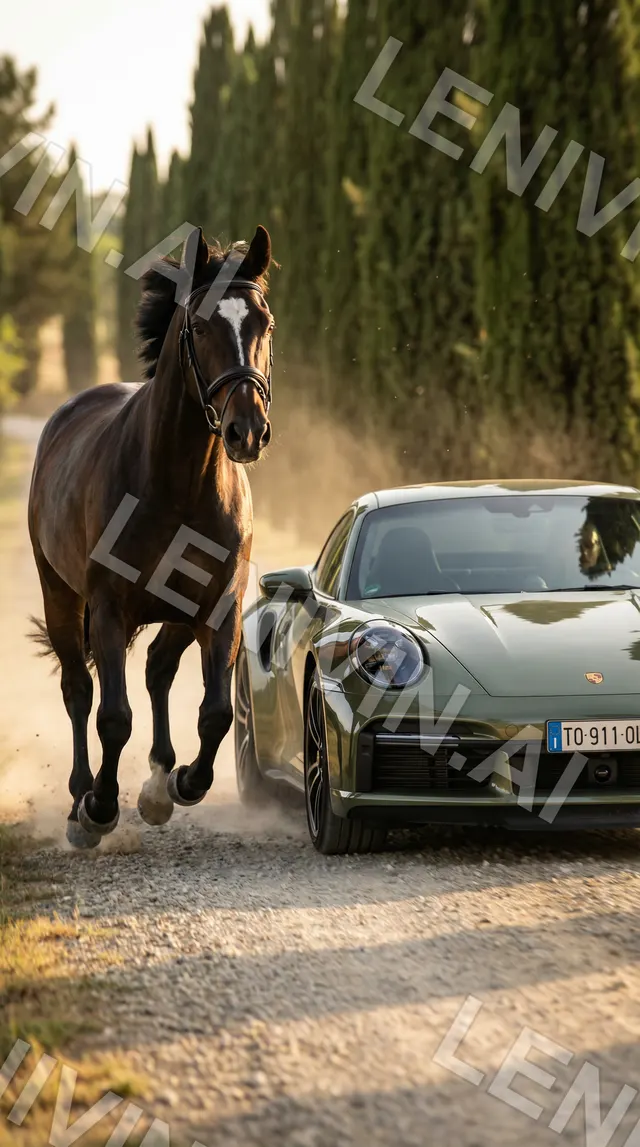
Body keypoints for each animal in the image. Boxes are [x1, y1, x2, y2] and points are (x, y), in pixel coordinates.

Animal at [28, 225, 274, 848]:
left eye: (264, 323)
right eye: (200, 327)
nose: (247, 431)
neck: (176, 484)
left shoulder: (218, 606)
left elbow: (215, 712)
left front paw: (182, 782)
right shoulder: (109, 608)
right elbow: (112, 716)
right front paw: (99, 807)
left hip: (177, 612)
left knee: (159, 669)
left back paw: (160, 782)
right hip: (59, 595)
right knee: (78, 689)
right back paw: (80, 801)